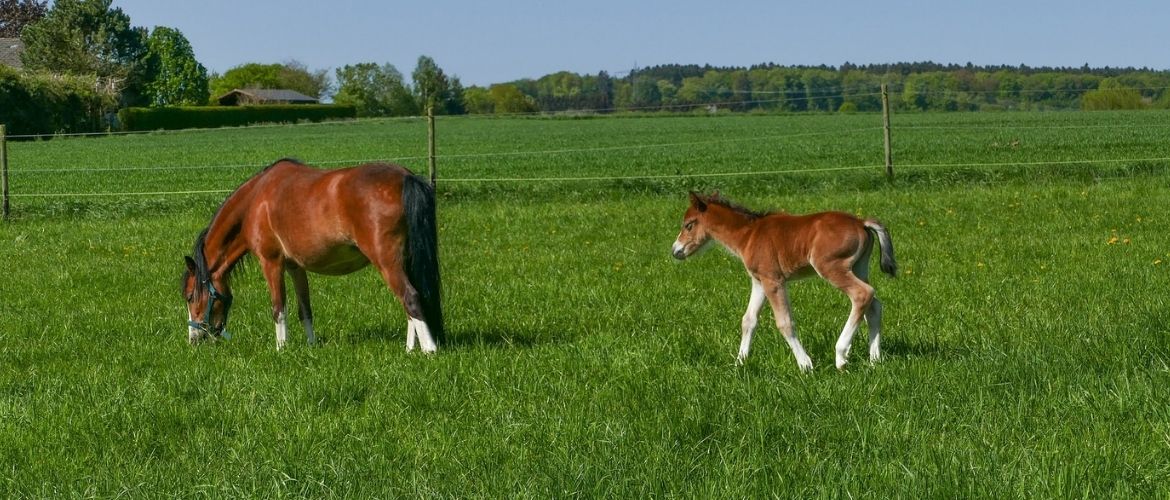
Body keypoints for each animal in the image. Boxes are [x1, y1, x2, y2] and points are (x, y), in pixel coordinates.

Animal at [180, 160, 439, 351]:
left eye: (190, 296)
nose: (193, 339)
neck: (255, 201)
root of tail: (405, 177)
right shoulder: (295, 266)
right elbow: (304, 308)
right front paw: (311, 346)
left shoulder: (271, 263)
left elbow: (278, 309)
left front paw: (281, 349)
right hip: (404, 260)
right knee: (411, 302)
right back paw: (409, 350)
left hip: (386, 261)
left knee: (410, 297)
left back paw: (429, 351)